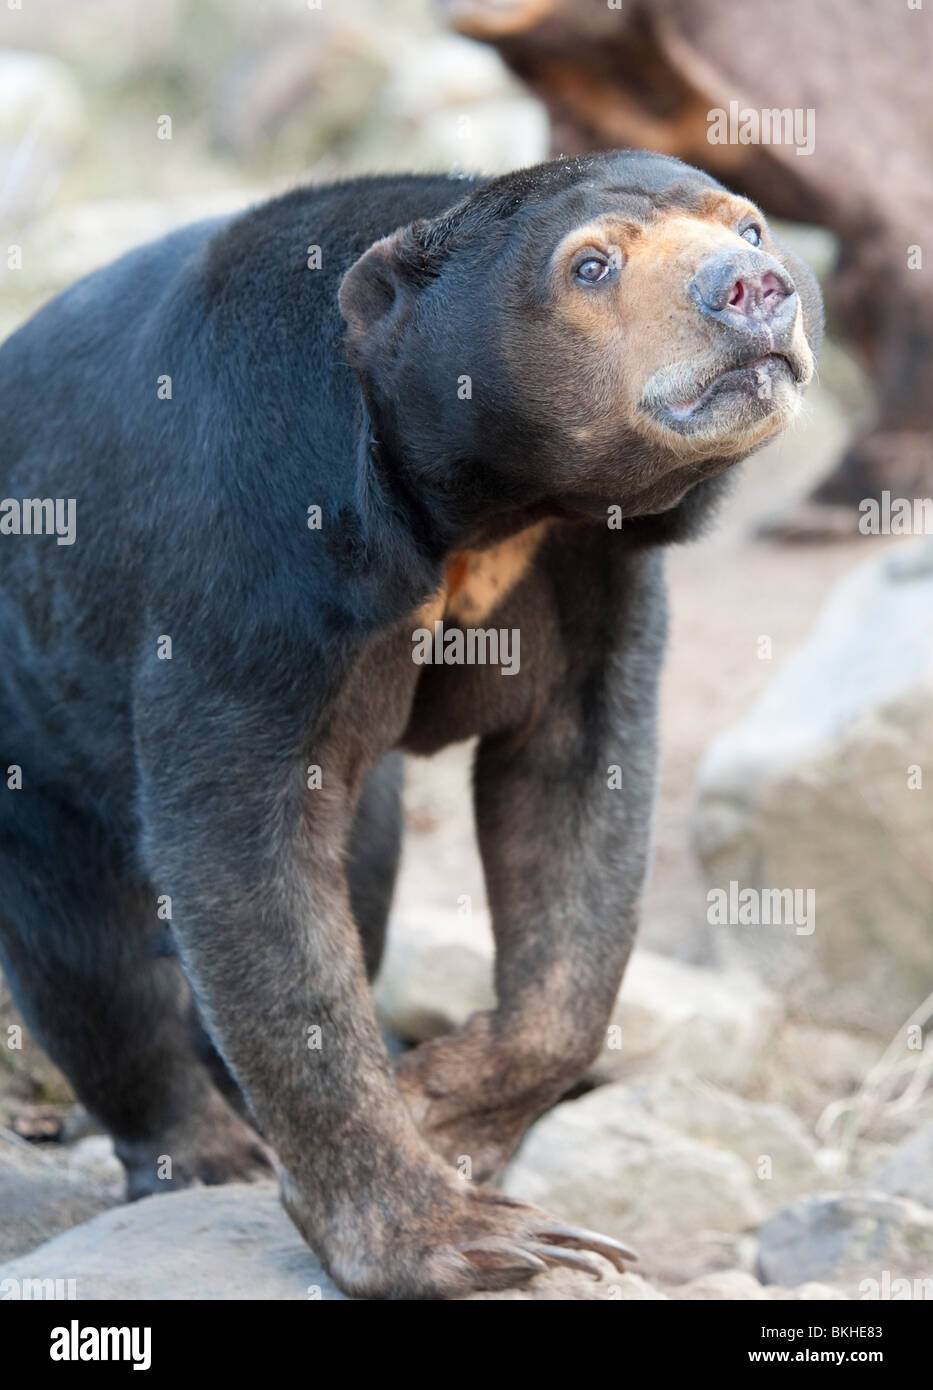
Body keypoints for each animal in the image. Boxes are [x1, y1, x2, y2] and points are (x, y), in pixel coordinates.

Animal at [0, 157, 823, 1295]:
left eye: (747, 225)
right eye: (590, 265)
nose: (755, 289)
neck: (490, 502)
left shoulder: (589, 574)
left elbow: (577, 812)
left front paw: (440, 1100)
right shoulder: (253, 554)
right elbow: (244, 862)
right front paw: (456, 1232)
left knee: (366, 867)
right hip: (32, 719)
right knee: (84, 951)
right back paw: (201, 1150)